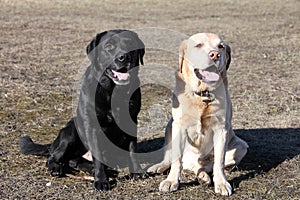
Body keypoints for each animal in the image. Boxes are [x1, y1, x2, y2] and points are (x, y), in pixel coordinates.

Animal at [19, 29, 146, 191]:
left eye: (130, 44)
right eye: (109, 46)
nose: (124, 57)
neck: (113, 91)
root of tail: (53, 144)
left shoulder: (131, 121)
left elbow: (132, 149)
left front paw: (137, 172)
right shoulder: (92, 126)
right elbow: (98, 156)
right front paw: (101, 181)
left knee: (74, 160)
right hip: (71, 133)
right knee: (54, 157)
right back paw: (57, 168)